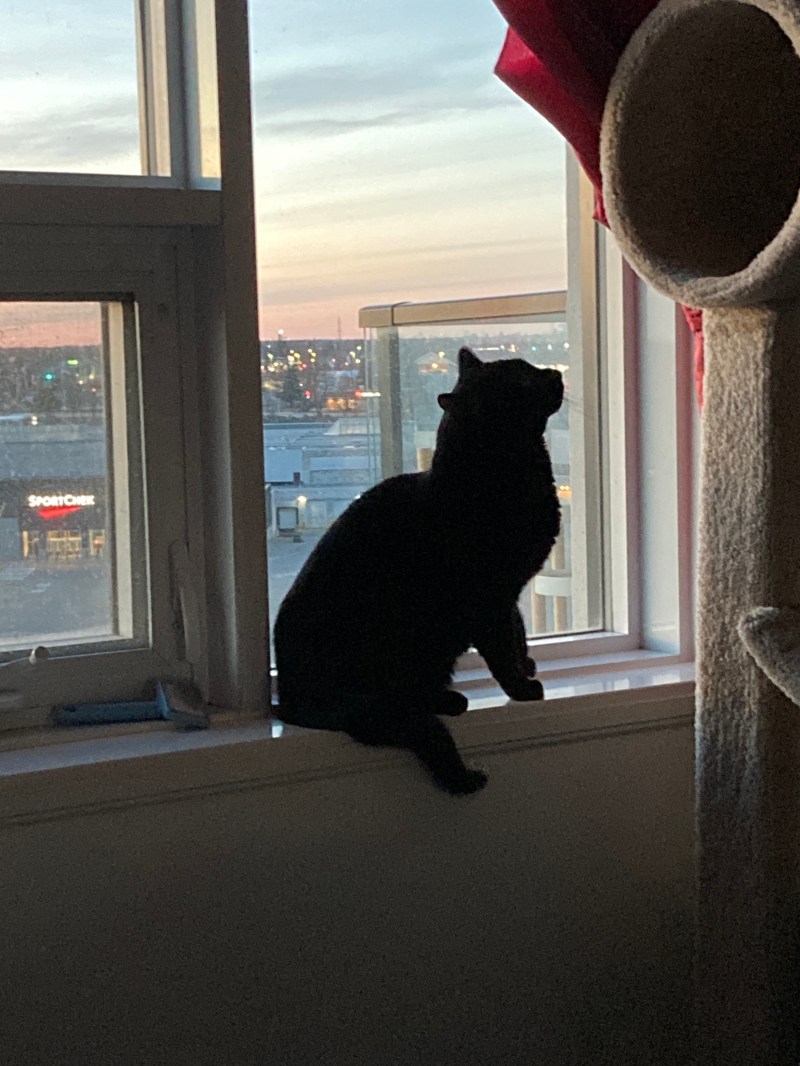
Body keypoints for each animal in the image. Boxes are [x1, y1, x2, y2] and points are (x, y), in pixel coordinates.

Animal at [274, 347, 563, 794]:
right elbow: (502, 646)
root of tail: (288, 699)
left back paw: (448, 699)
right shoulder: (487, 598)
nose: (555, 374)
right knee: (386, 713)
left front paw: (527, 666)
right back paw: (448, 703)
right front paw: (521, 686)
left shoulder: (509, 592)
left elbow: (516, 633)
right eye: (523, 381)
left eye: (529, 367)